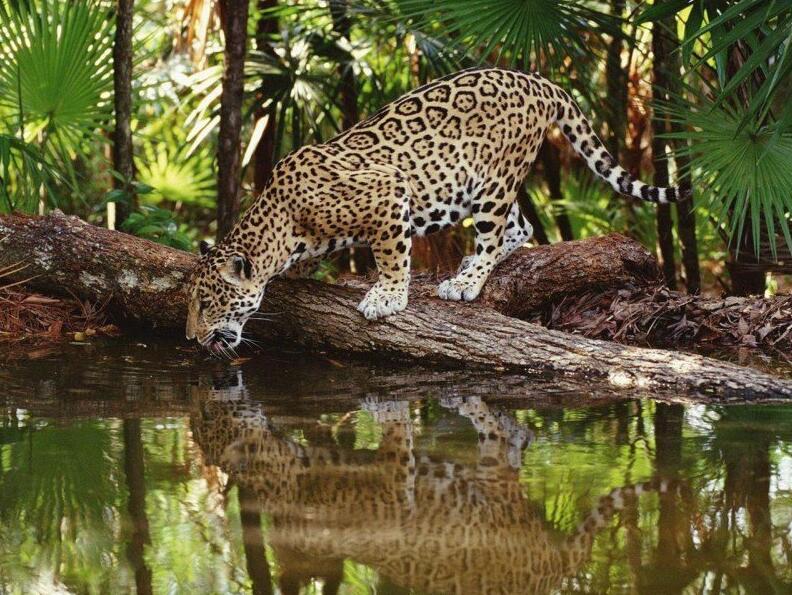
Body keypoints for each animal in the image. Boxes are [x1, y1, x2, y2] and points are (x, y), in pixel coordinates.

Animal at [186, 67, 687, 353]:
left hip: (492, 181)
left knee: (496, 232)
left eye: (207, 303)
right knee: (521, 226)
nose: (191, 338)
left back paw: (466, 282)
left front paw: (387, 296)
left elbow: (391, 255)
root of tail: (536, 79)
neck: (281, 223)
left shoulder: (388, 191)